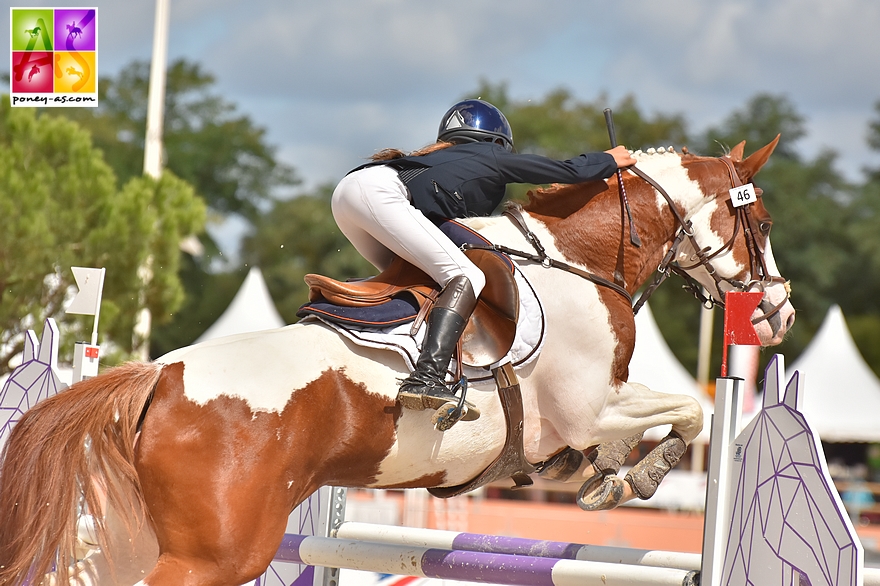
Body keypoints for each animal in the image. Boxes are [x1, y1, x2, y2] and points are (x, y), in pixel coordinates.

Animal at [0, 137, 796, 584]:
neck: (577, 259)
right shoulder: (590, 406)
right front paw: (636, 478)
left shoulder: (588, 416)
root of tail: (156, 378)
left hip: (128, 537)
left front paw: (607, 475)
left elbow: (649, 428)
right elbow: (688, 411)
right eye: (760, 220)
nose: (779, 313)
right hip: (214, 556)